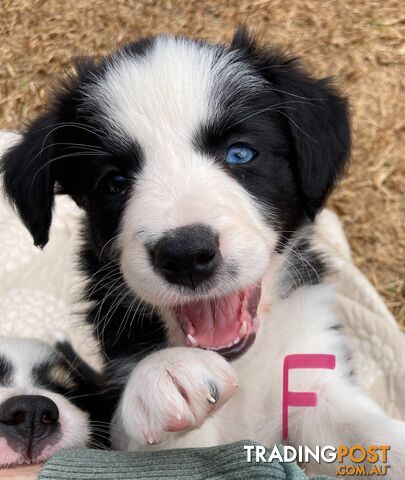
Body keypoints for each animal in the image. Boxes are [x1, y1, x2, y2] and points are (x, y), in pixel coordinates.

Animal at [2, 30, 404, 476]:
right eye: (114, 182)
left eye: (240, 153)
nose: (185, 254)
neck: (242, 366)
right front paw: (166, 371)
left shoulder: (313, 371)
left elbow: (370, 433)